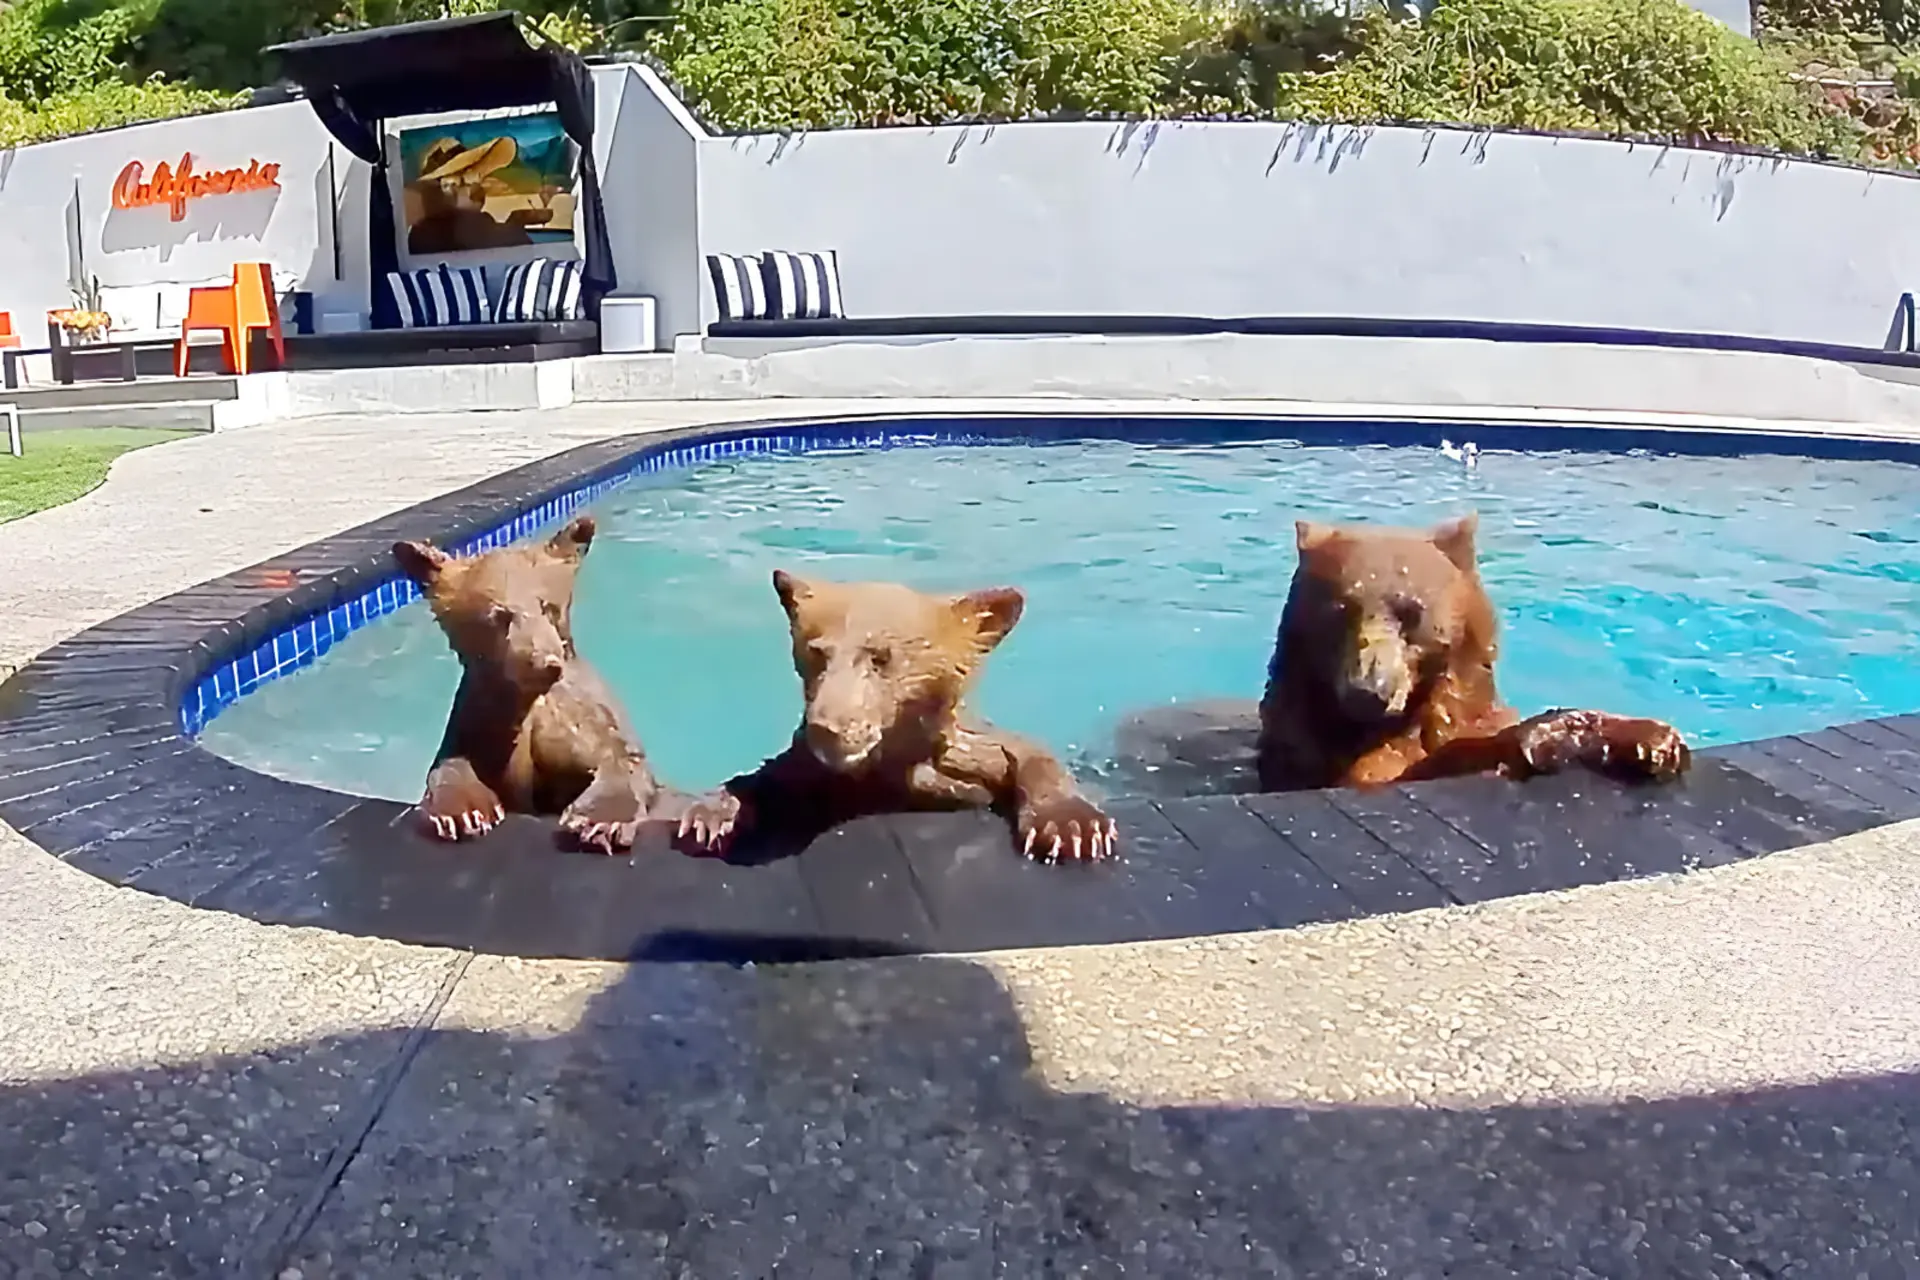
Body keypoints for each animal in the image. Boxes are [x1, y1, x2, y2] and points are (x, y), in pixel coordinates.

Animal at [392, 514, 672, 853]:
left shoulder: (576, 714)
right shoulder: (479, 719)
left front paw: (600, 819)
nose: (545, 662)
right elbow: (454, 761)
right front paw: (464, 811)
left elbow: (616, 756)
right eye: (498, 616)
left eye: (547, 606)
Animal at [674, 570, 1118, 862]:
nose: (826, 728)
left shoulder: (964, 749)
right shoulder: (818, 768)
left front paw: (1073, 825)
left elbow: (1023, 752)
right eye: (817, 654)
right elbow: (770, 774)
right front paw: (712, 813)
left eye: (881, 657)